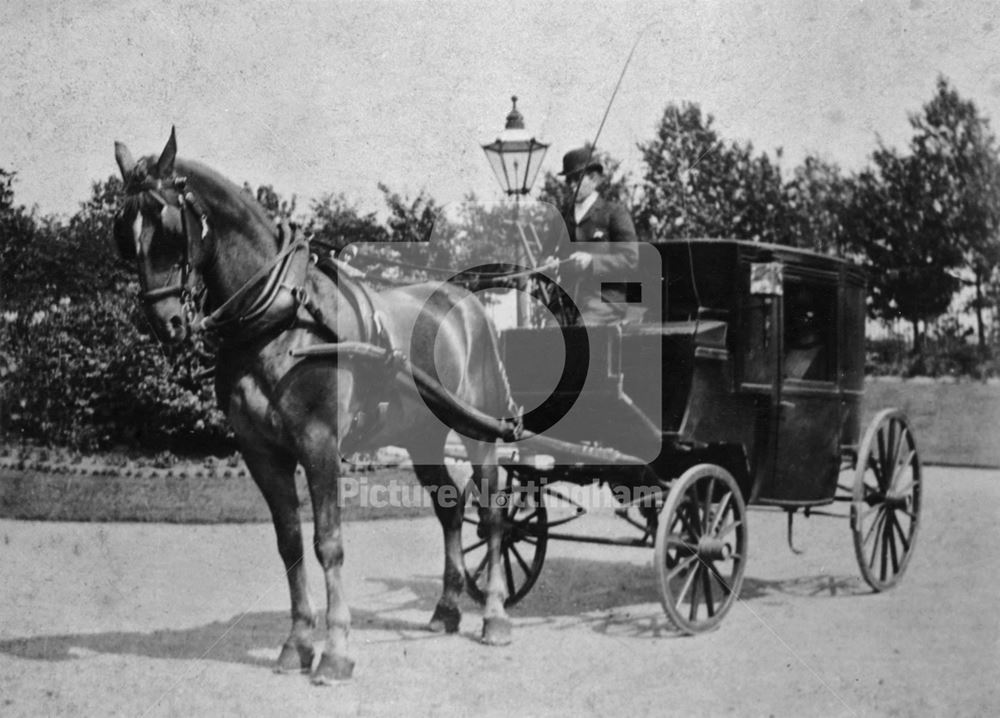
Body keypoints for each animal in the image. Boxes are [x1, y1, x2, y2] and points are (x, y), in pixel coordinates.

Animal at [111, 129, 516, 688]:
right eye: (122, 235)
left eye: (169, 226)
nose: (165, 323)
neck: (284, 318)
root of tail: (466, 298)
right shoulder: (262, 453)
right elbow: (289, 544)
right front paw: (298, 642)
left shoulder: (319, 445)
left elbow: (329, 543)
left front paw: (336, 650)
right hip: (422, 438)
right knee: (450, 510)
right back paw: (447, 608)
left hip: (478, 432)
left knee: (493, 515)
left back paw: (494, 614)